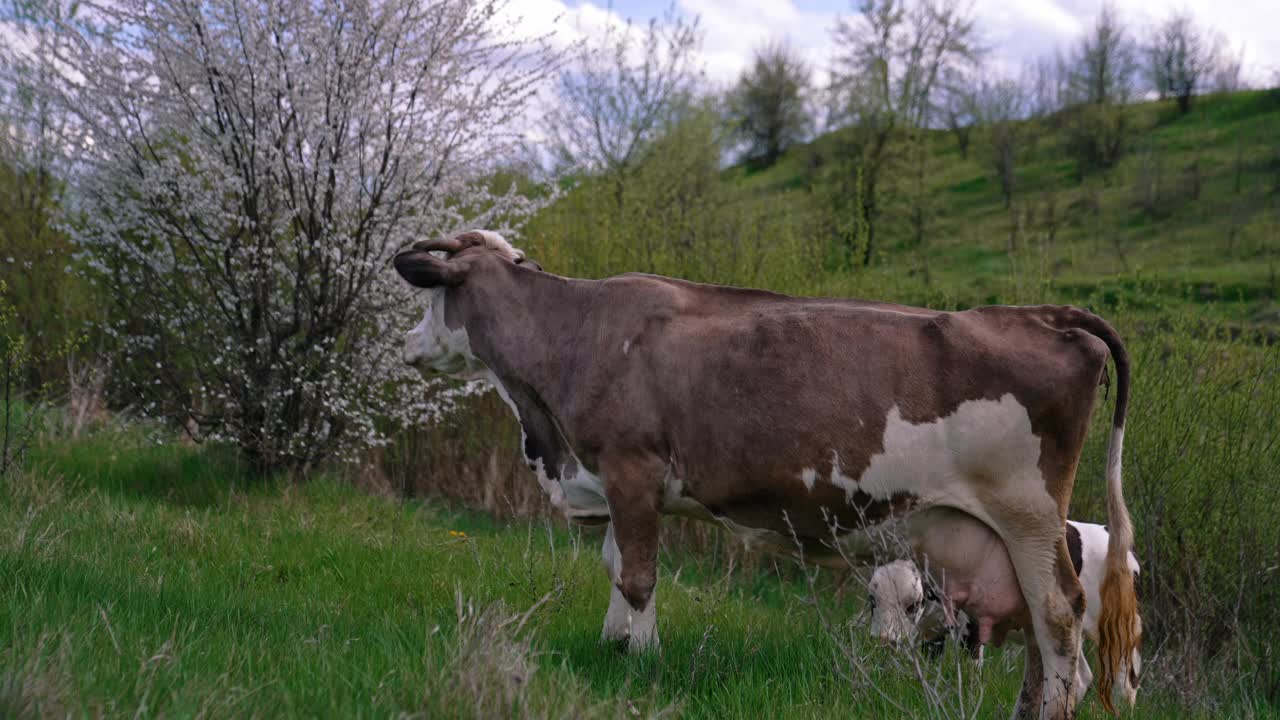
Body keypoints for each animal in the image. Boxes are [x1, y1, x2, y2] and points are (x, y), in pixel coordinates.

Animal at [870, 509, 1141, 707]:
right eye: (873, 599)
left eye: (911, 604)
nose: (883, 639)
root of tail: (1109, 534)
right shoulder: (932, 632)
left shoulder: (973, 627)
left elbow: (971, 672)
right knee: (1081, 676)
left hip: (1116, 629)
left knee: (1126, 679)